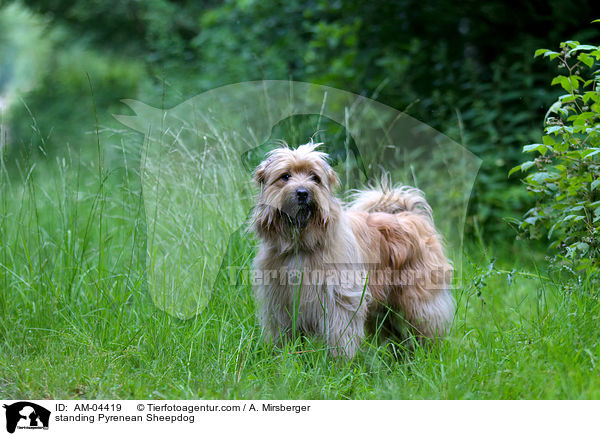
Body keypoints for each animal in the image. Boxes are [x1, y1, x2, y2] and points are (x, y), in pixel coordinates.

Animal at [251, 143, 452, 358]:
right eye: (285, 176)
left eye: (315, 177)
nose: (303, 192)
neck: (302, 245)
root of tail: (410, 215)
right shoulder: (280, 303)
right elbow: (283, 333)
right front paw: (282, 357)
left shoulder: (340, 300)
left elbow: (340, 334)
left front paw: (338, 362)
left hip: (418, 300)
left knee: (428, 323)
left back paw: (429, 354)